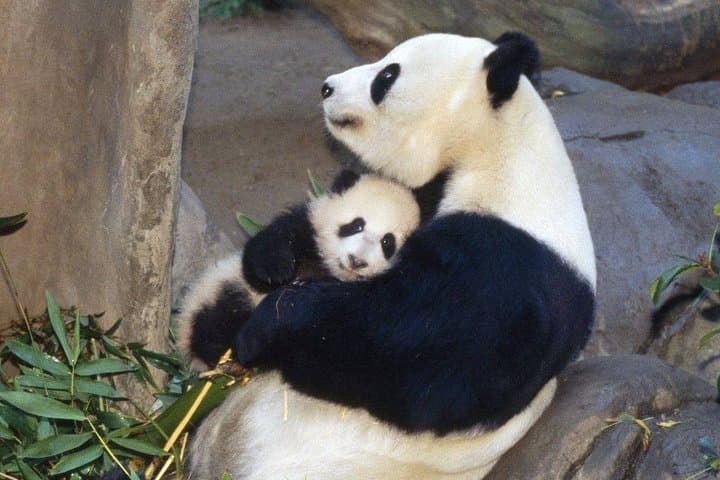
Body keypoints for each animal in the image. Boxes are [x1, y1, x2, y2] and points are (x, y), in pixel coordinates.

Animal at [177, 172, 421, 370]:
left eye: (387, 242)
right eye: (356, 225)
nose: (357, 261)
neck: (329, 269)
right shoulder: (307, 228)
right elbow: (267, 247)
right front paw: (278, 271)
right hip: (222, 295)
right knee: (216, 320)